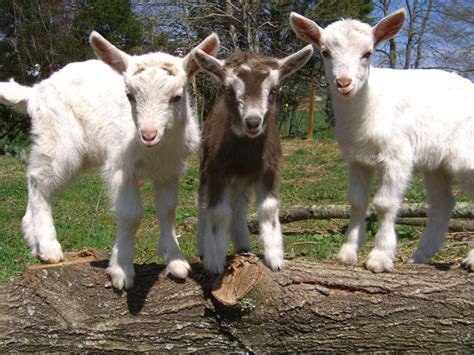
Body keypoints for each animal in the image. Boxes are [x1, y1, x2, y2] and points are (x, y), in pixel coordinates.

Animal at [191, 46, 312, 276]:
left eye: (273, 90)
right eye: (228, 89)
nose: (253, 122)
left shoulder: (270, 168)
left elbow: (269, 208)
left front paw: (275, 259)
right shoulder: (216, 169)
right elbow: (217, 212)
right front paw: (214, 263)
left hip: (242, 178)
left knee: (239, 204)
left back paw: (243, 245)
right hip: (205, 164)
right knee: (202, 201)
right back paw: (202, 247)